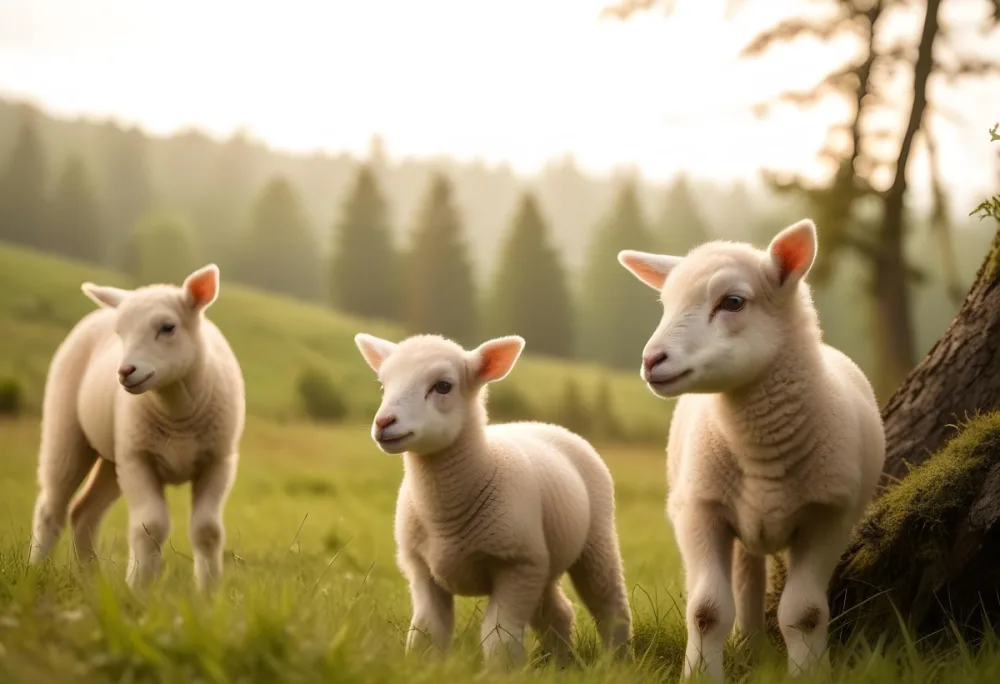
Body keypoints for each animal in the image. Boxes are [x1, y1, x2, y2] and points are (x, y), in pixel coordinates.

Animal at [27, 264, 246, 593]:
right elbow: (150, 525)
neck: (176, 409)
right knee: (51, 506)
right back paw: (35, 571)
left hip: (114, 457)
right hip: (67, 431)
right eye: (120, 333)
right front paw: (139, 588)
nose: (125, 371)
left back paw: (91, 579)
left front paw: (208, 593)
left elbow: (207, 530)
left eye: (167, 327)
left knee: (84, 512)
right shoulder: (138, 459)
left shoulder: (218, 460)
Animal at [353, 332, 632, 668]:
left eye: (443, 386)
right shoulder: (421, 569)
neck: (444, 517)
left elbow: (499, 638)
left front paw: (500, 672)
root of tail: (546, 425)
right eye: (384, 385)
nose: (384, 422)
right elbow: (426, 632)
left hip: (594, 542)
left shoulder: (515, 565)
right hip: (542, 563)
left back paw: (617, 661)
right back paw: (559, 662)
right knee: (559, 612)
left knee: (610, 606)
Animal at [617, 219, 885, 679]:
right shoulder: (699, 511)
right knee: (746, 581)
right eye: (665, 304)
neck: (761, 450)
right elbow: (706, 611)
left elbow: (805, 613)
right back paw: (749, 650)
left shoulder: (829, 516)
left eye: (733, 302)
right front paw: (701, 675)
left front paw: (809, 674)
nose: (652, 360)